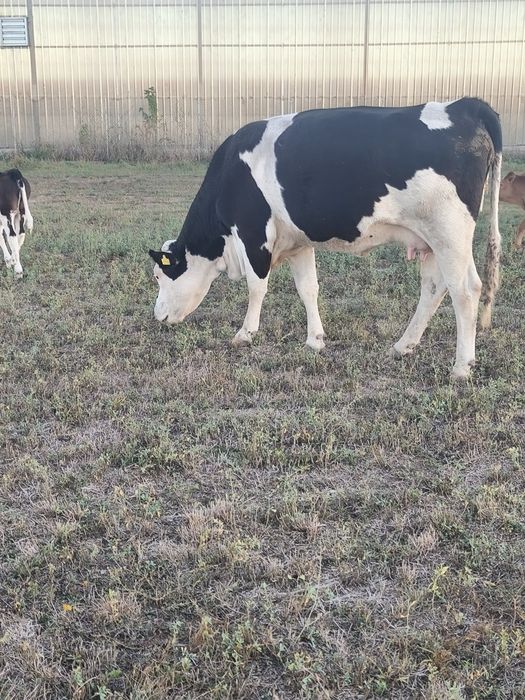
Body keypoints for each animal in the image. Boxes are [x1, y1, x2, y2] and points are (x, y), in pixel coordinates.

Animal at [149, 97, 502, 379]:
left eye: (159, 275)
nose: (158, 316)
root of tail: (463, 105)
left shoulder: (253, 234)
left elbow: (256, 288)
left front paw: (245, 333)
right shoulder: (298, 243)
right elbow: (308, 289)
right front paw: (315, 340)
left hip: (450, 232)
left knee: (465, 290)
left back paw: (461, 368)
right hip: (431, 240)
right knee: (433, 288)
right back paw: (403, 346)